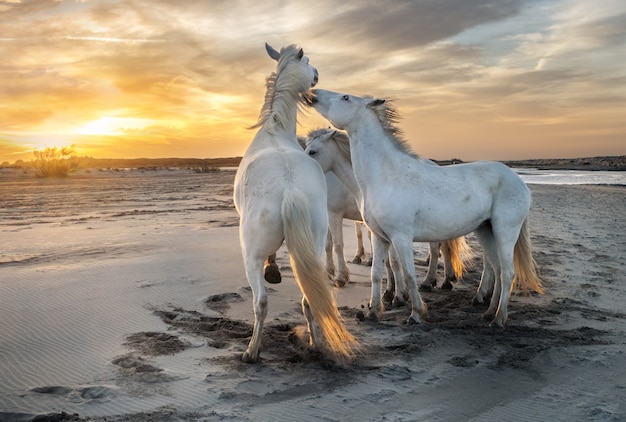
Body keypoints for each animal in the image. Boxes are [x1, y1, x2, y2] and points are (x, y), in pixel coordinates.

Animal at [232, 45, 356, 362]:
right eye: (309, 61)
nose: (317, 74)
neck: (273, 130)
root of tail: (289, 188)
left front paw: (273, 270)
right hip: (314, 245)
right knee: (310, 299)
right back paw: (315, 344)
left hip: (249, 254)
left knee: (261, 302)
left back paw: (252, 351)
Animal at [304, 129, 470, 306]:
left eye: (312, 151)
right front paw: (391, 292)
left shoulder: (334, 214)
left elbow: (338, 245)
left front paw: (341, 277)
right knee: (444, 248)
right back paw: (445, 280)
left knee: (435, 249)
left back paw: (429, 281)